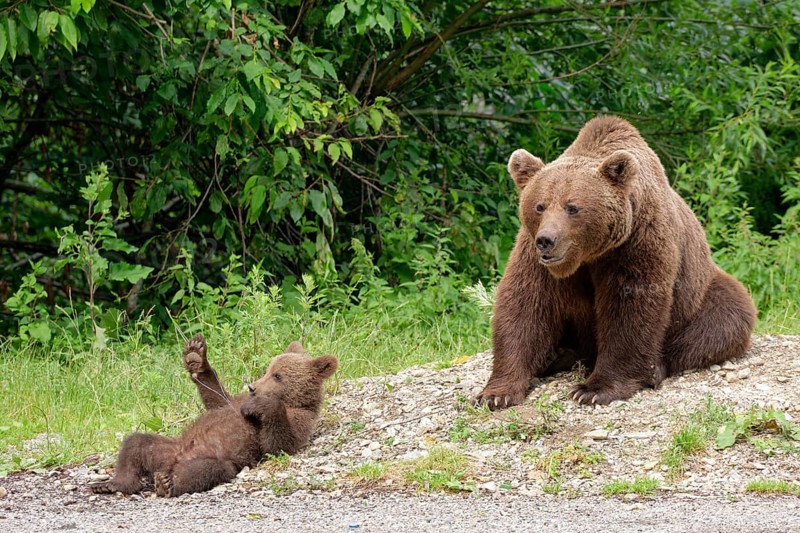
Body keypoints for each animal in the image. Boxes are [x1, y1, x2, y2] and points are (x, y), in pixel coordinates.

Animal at [90, 336, 338, 496]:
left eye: (278, 375)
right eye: (267, 370)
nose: (252, 387)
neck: (291, 401)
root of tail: (174, 460)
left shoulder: (300, 419)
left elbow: (278, 445)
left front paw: (262, 405)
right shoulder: (230, 402)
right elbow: (216, 397)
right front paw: (196, 356)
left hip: (221, 460)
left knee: (206, 470)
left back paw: (168, 483)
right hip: (165, 448)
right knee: (136, 444)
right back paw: (112, 484)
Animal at [476, 116, 756, 409]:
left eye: (572, 207)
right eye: (539, 206)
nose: (547, 240)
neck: (589, 255)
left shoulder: (636, 243)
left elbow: (630, 306)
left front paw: (593, 389)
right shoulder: (534, 257)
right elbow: (525, 304)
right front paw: (497, 393)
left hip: (700, 293)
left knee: (723, 318)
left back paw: (654, 368)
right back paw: (555, 356)